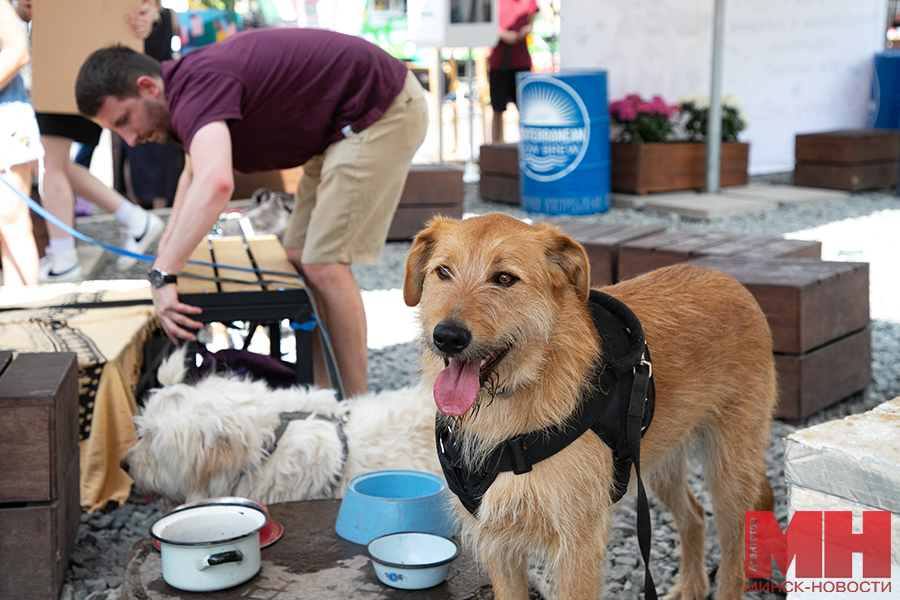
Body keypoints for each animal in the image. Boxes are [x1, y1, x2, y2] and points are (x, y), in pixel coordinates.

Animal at [404, 214, 776, 600]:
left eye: (504, 278)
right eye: (443, 272)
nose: (447, 337)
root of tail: (730, 280)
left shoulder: (578, 545)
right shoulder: (498, 543)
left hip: (730, 472)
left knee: (734, 552)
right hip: (658, 461)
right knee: (696, 515)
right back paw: (691, 584)